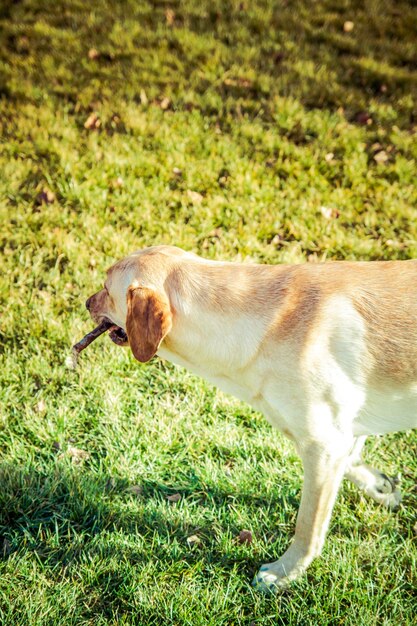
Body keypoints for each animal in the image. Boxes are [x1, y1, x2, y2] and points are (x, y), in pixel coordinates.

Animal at [85, 244, 416, 588]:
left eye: (106, 289)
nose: (86, 302)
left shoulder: (323, 444)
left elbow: (308, 526)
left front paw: (284, 572)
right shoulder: (333, 433)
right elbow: (352, 457)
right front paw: (379, 486)